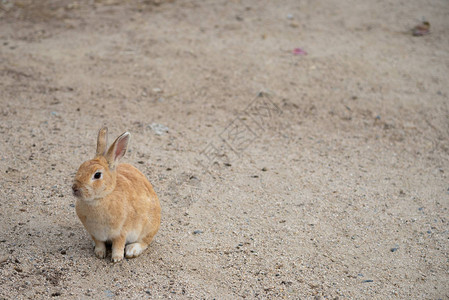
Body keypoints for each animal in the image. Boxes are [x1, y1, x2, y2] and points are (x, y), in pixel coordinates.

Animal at [71, 127, 160, 262]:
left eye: (97, 175)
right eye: (81, 167)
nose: (75, 188)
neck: (102, 197)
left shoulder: (121, 232)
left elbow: (118, 244)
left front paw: (116, 258)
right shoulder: (94, 233)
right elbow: (99, 243)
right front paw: (99, 253)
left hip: (148, 228)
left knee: (145, 242)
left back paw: (132, 250)